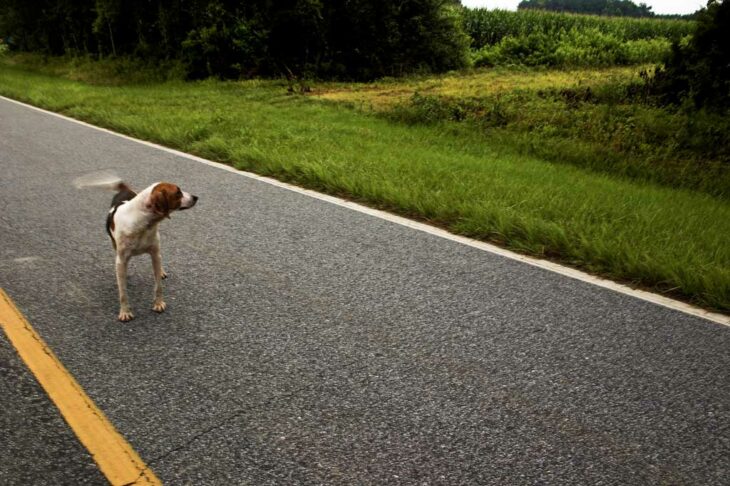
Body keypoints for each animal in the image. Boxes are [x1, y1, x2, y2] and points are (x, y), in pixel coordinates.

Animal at [75, 173, 198, 320]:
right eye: (177, 192)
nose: (196, 197)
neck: (142, 222)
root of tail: (125, 190)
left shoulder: (154, 253)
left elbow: (158, 286)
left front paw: (158, 303)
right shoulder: (121, 260)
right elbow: (123, 292)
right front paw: (125, 311)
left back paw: (161, 271)